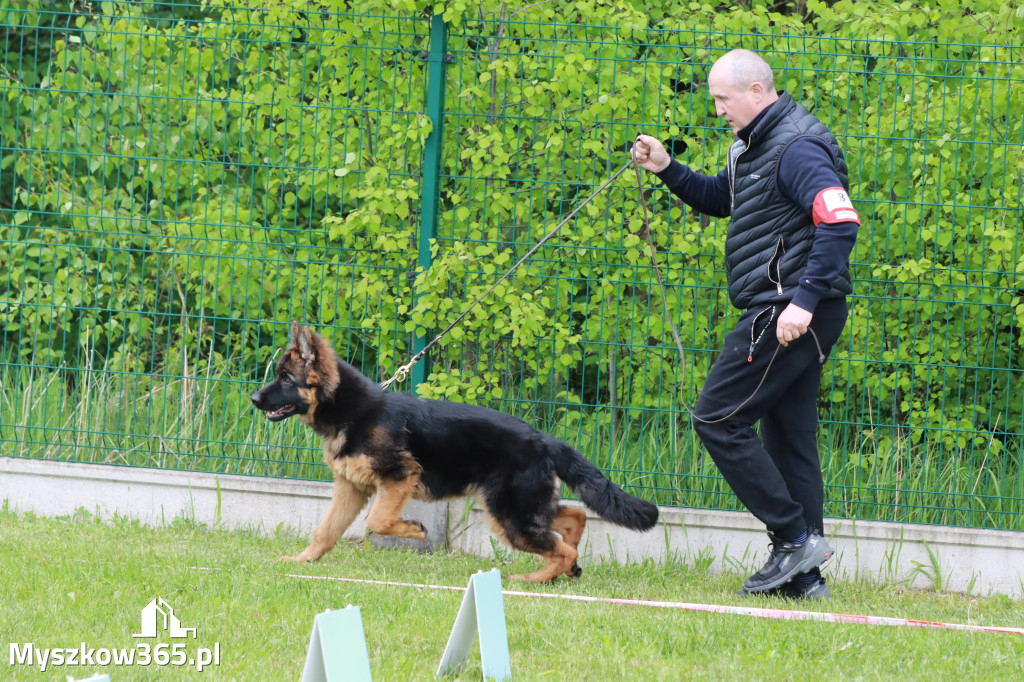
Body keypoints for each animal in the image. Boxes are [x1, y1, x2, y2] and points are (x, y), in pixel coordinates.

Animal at [251, 323, 659, 577]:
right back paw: (560, 572)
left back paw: (534, 579)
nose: (254, 398)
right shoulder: (351, 488)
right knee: (574, 518)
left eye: (285, 379)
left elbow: (377, 521)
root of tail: (545, 440)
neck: (354, 410)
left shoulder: (398, 478)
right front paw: (303, 560)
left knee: (563, 546)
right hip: (520, 509)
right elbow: (325, 530)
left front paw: (414, 531)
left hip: (510, 516)